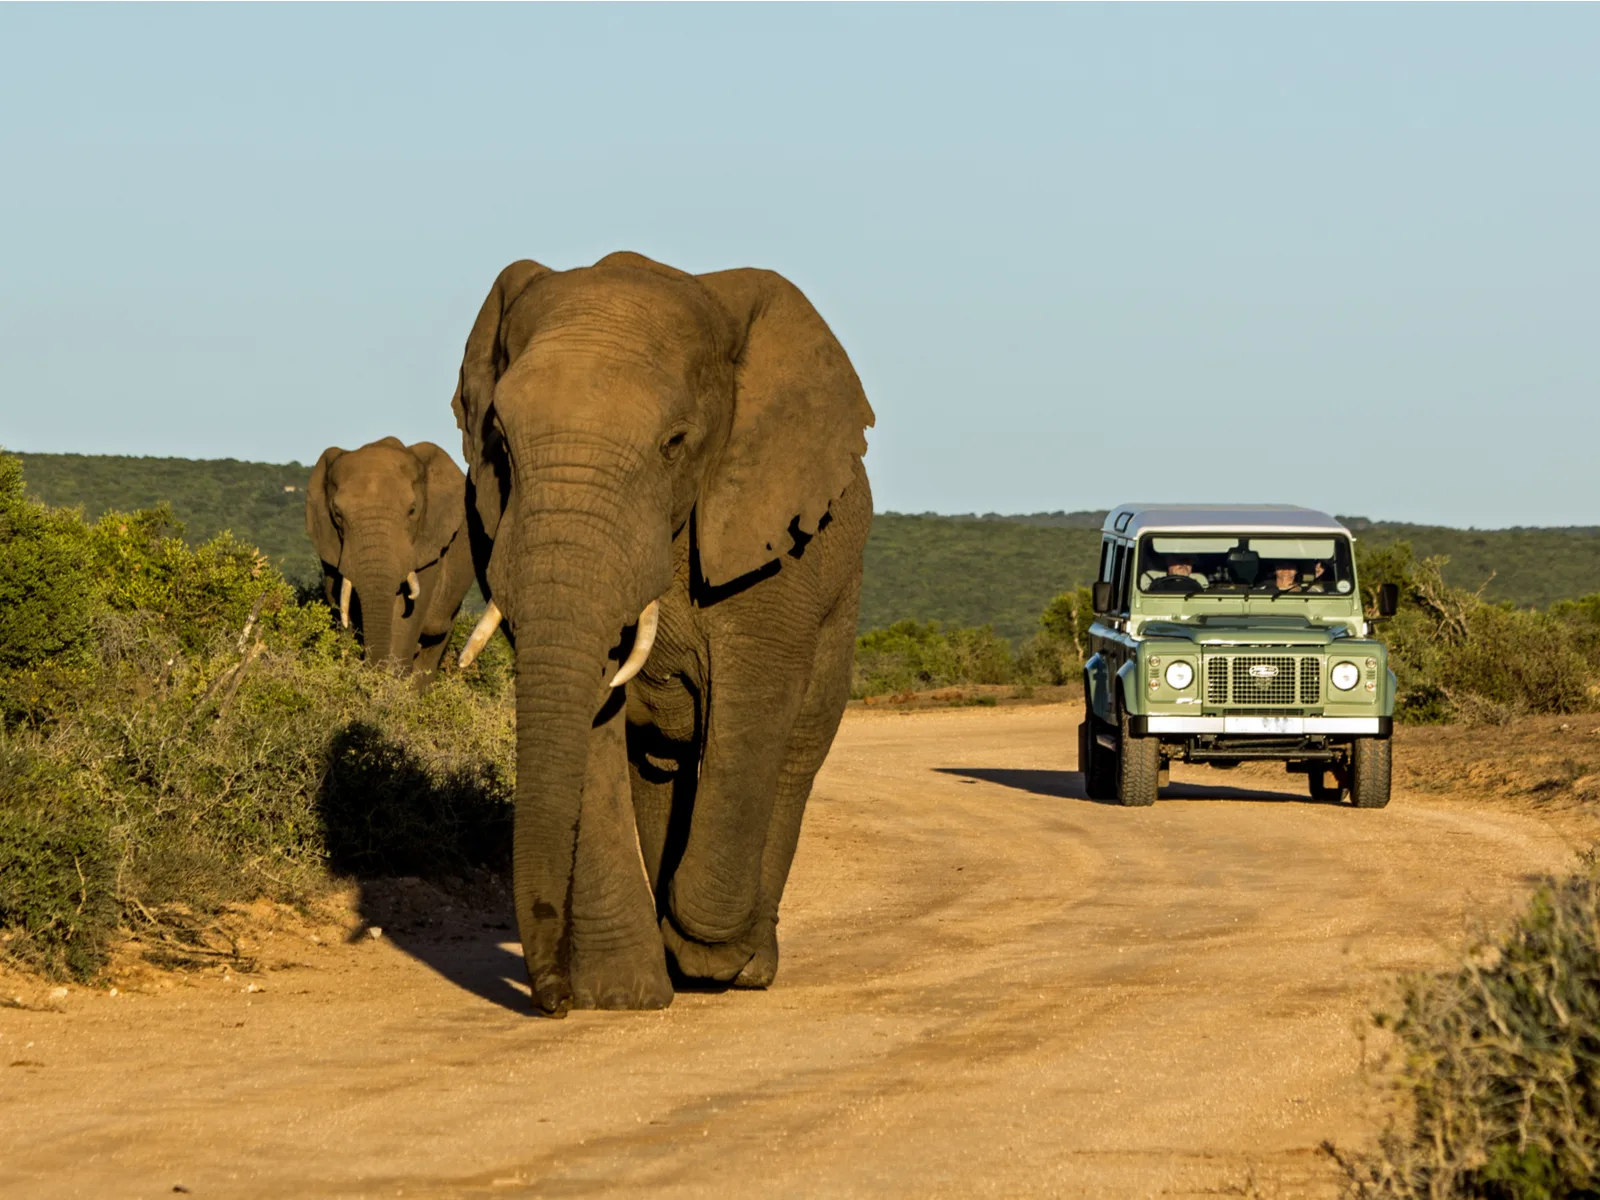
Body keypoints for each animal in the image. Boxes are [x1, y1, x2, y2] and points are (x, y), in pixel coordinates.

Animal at [451, 251, 876, 1017]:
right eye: (498, 443)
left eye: (674, 444)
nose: (551, 999)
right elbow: (593, 726)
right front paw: (622, 994)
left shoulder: (771, 540)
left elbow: (754, 709)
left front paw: (707, 954)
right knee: (658, 765)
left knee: (796, 749)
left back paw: (743, 967)